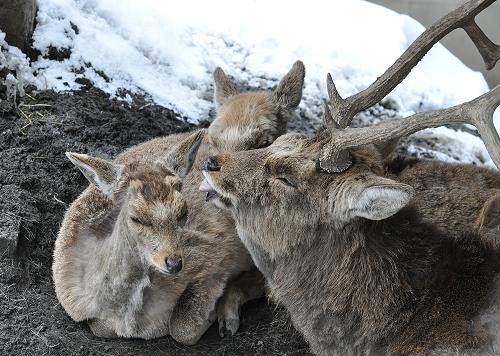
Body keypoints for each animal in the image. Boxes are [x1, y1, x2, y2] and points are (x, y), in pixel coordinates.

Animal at [53, 62, 304, 344]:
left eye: (184, 213)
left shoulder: (216, 252)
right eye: (136, 218)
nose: (174, 262)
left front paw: (213, 313)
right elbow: (99, 327)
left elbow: (182, 328)